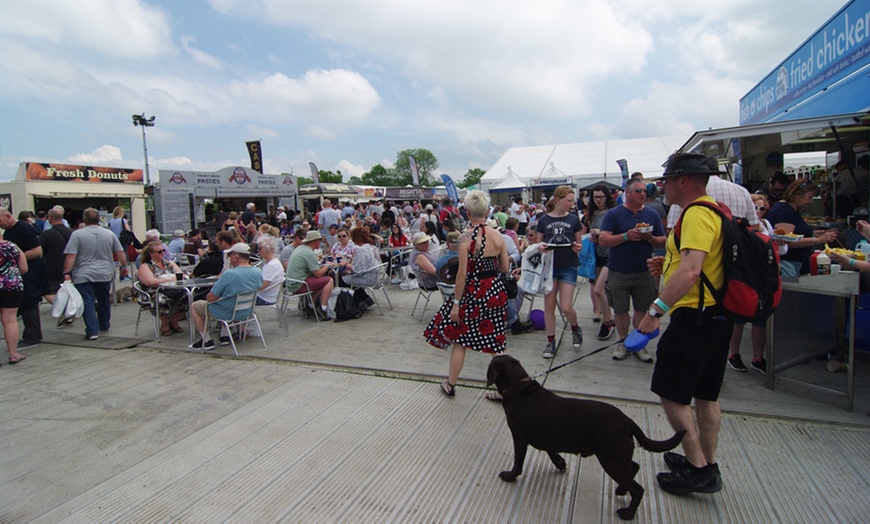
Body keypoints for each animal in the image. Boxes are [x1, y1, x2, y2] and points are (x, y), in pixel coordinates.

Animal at [488, 354, 684, 520]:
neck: (518, 385)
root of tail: (627, 421)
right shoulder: (547, 436)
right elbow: (551, 449)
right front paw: (559, 462)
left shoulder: (519, 438)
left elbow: (518, 462)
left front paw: (510, 476)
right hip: (618, 456)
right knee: (634, 467)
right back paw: (621, 490)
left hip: (611, 459)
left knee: (638, 489)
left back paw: (627, 513)